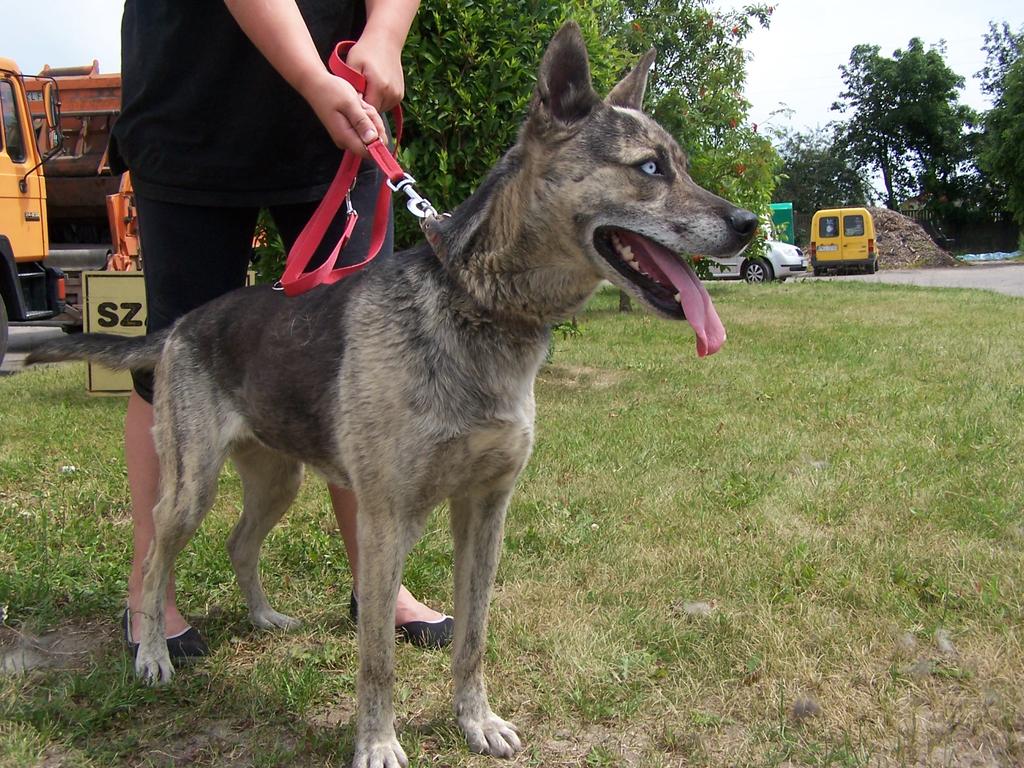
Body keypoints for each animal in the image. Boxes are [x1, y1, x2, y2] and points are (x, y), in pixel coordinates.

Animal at [28, 22, 757, 768]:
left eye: (683, 165)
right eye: (650, 169)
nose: (749, 223)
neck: (480, 303)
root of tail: (180, 325)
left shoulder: (486, 511)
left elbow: (473, 638)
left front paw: (476, 720)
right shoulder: (386, 519)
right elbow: (376, 657)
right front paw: (377, 743)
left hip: (279, 480)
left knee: (239, 543)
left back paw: (262, 617)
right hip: (189, 490)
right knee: (152, 562)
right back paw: (152, 650)